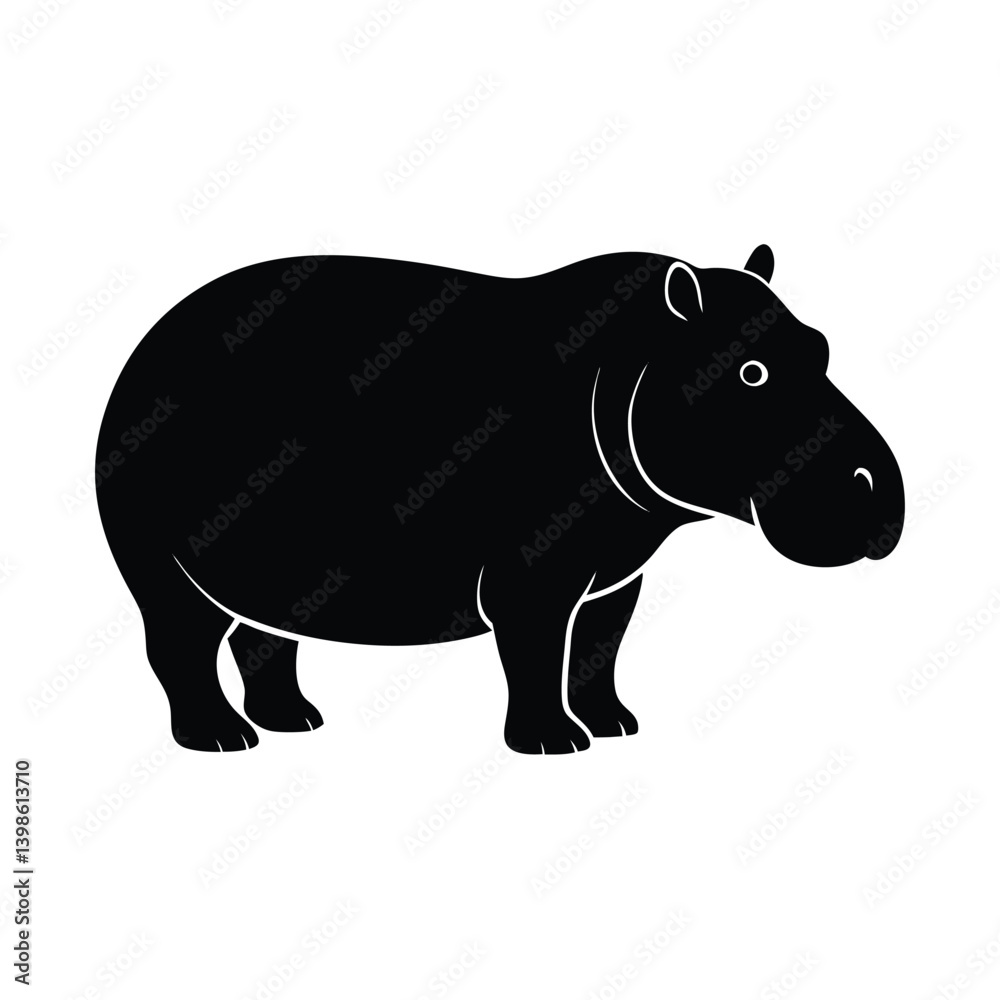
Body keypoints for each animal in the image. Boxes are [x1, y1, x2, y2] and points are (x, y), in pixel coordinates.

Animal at [95, 246, 904, 753]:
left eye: (822, 344)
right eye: (751, 371)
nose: (872, 486)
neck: (630, 361)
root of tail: (140, 350)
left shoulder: (619, 571)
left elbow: (601, 647)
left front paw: (617, 725)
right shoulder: (532, 574)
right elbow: (537, 653)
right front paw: (556, 745)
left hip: (269, 571)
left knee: (263, 639)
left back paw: (295, 722)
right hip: (165, 572)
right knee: (179, 647)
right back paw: (221, 739)